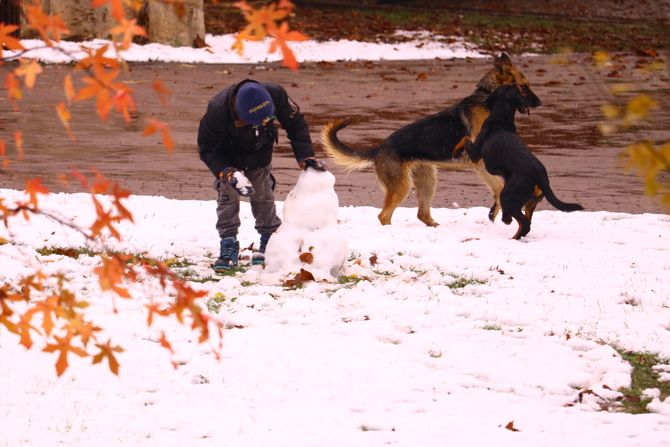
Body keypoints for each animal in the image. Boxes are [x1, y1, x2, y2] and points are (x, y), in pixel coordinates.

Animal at [462, 85, 584, 240]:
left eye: (495, 91)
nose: (484, 100)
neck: (502, 118)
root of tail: (541, 177)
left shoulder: (475, 153)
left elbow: (465, 139)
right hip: (529, 202)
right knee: (526, 221)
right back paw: (509, 223)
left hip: (508, 197)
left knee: (524, 223)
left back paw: (512, 237)